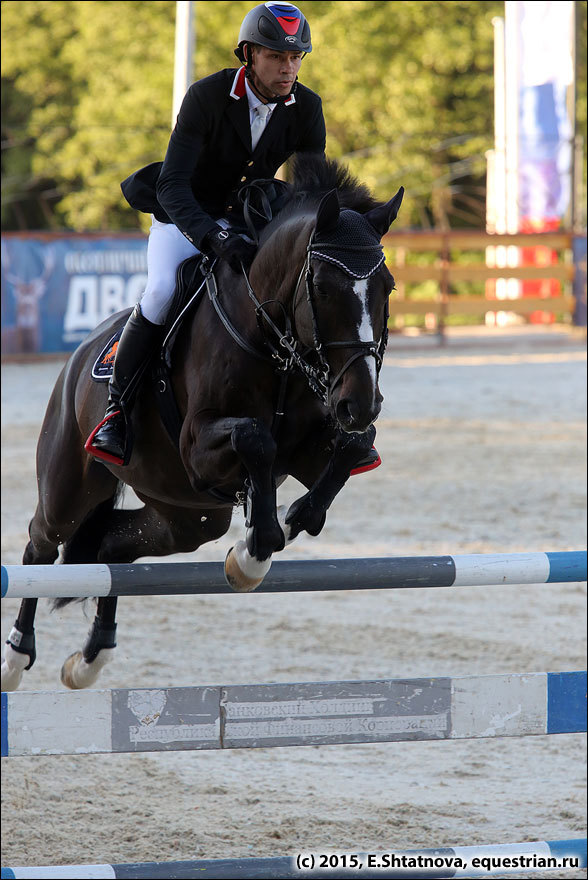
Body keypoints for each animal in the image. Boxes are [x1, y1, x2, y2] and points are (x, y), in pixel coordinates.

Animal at [0, 156, 402, 696]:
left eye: (388, 287)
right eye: (320, 286)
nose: (360, 403)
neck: (271, 342)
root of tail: (80, 355)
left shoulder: (308, 446)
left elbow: (352, 450)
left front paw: (289, 522)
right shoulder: (199, 450)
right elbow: (255, 439)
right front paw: (256, 549)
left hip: (187, 515)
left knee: (113, 545)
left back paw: (90, 658)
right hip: (71, 484)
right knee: (40, 544)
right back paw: (15, 657)